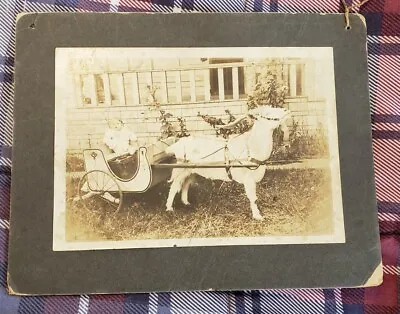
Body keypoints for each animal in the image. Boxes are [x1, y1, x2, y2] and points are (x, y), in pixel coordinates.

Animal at [162, 105, 290, 221]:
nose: (286, 110)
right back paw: (169, 208)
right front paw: (257, 216)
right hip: (181, 169)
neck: (251, 147)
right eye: (267, 113)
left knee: (185, 184)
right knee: (174, 186)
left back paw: (186, 203)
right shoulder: (248, 179)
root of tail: (179, 143)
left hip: (191, 171)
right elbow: (253, 198)